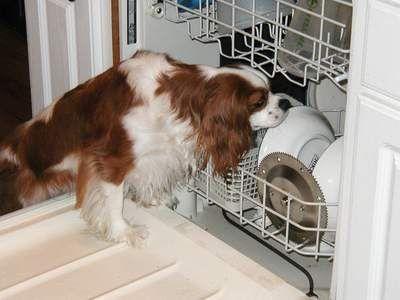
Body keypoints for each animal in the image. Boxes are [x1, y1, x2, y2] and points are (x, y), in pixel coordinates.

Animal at [0, 50, 290, 245]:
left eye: (272, 89)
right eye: (259, 102)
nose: (286, 102)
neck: (176, 96)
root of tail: (14, 149)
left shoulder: (156, 153)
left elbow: (147, 178)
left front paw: (153, 198)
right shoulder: (112, 160)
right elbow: (113, 201)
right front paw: (123, 231)